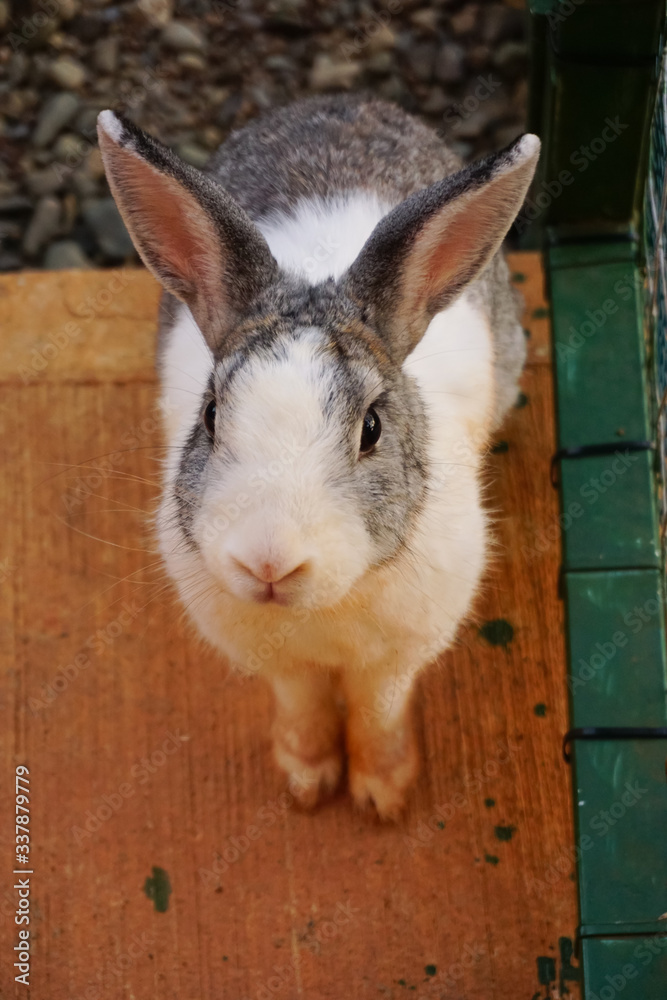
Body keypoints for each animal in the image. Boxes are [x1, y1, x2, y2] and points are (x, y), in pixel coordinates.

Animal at [97, 94, 539, 820]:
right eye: (211, 415)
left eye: (372, 428)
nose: (268, 561)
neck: (319, 611)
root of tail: (339, 102)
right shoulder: (280, 665)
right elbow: (301, 706)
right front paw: (307, 782)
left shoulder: (395, 660)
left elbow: (378, 711)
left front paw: (384, 793)